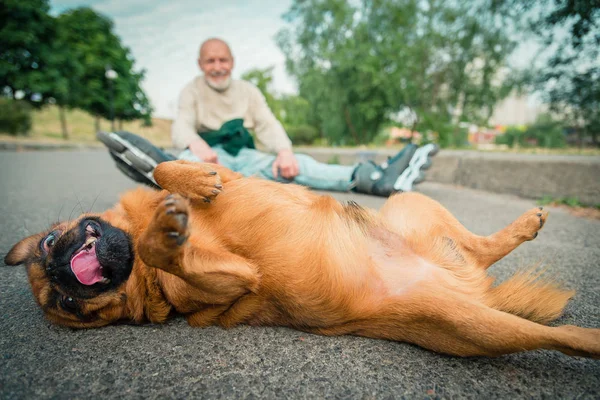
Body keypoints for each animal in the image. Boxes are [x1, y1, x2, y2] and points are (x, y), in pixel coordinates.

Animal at [5, 161, 600, 358]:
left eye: (49, 241)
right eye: (66, 304)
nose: (62, 269)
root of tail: (473, 287)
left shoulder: (229, 180)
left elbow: (163, 170)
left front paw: (191, 183)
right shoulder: (235, 281)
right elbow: (165, 246)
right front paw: (166, 233)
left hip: (408, 206)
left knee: (478, 245)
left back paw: (523, 225)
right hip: (473, 326)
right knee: (559, 336)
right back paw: (588, 339)